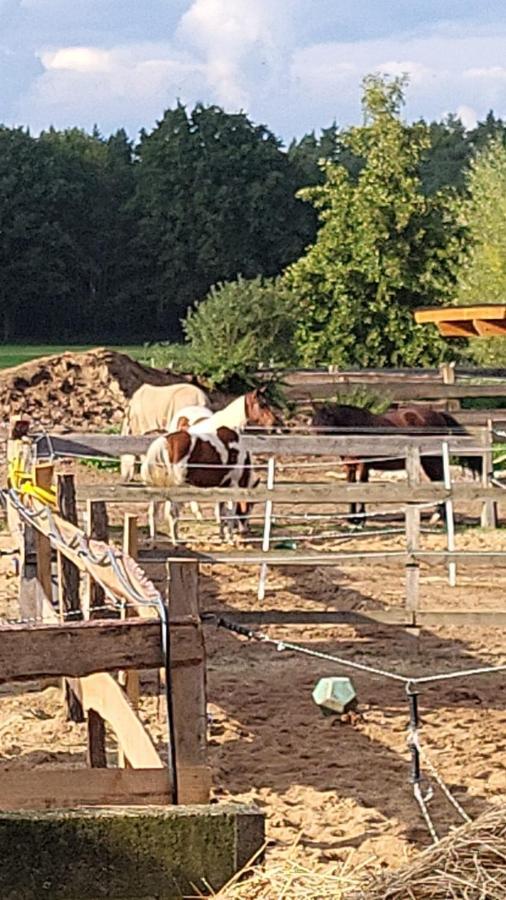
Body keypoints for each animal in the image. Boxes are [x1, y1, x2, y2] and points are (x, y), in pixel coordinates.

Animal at [310, 404, 480, 524]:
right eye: (313, 424)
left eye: (325, 422)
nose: (315, 451)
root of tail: (439, 415)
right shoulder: (350, 466)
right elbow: (350, 487)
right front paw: (352, 518)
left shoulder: (364, 465)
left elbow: (362, 486)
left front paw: (361, 519)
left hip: (431, 461)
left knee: (440, 481)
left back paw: (438, 516)